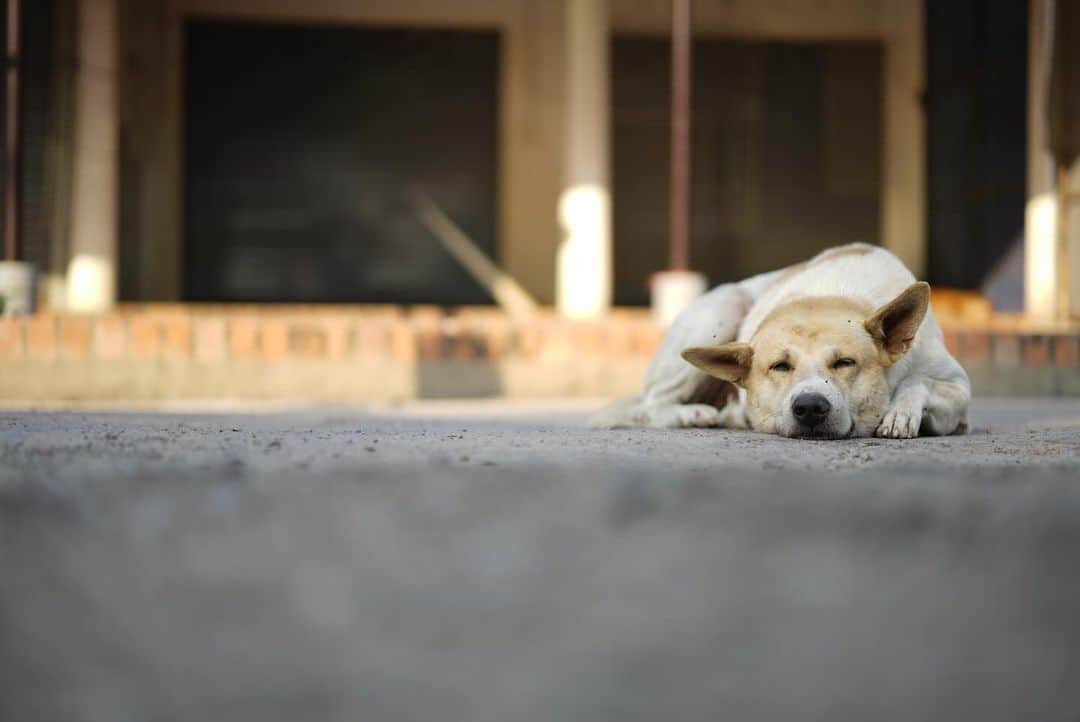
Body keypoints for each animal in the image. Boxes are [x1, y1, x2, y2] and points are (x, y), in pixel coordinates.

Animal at [591, 241, 972, 436]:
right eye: (779, 366)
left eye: (845, 362)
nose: (810, 407)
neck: (830, 295)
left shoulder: (957, 388)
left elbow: (918, 383)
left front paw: (900, 413)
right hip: (724, 305)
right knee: (650, 404)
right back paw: (692, 414)